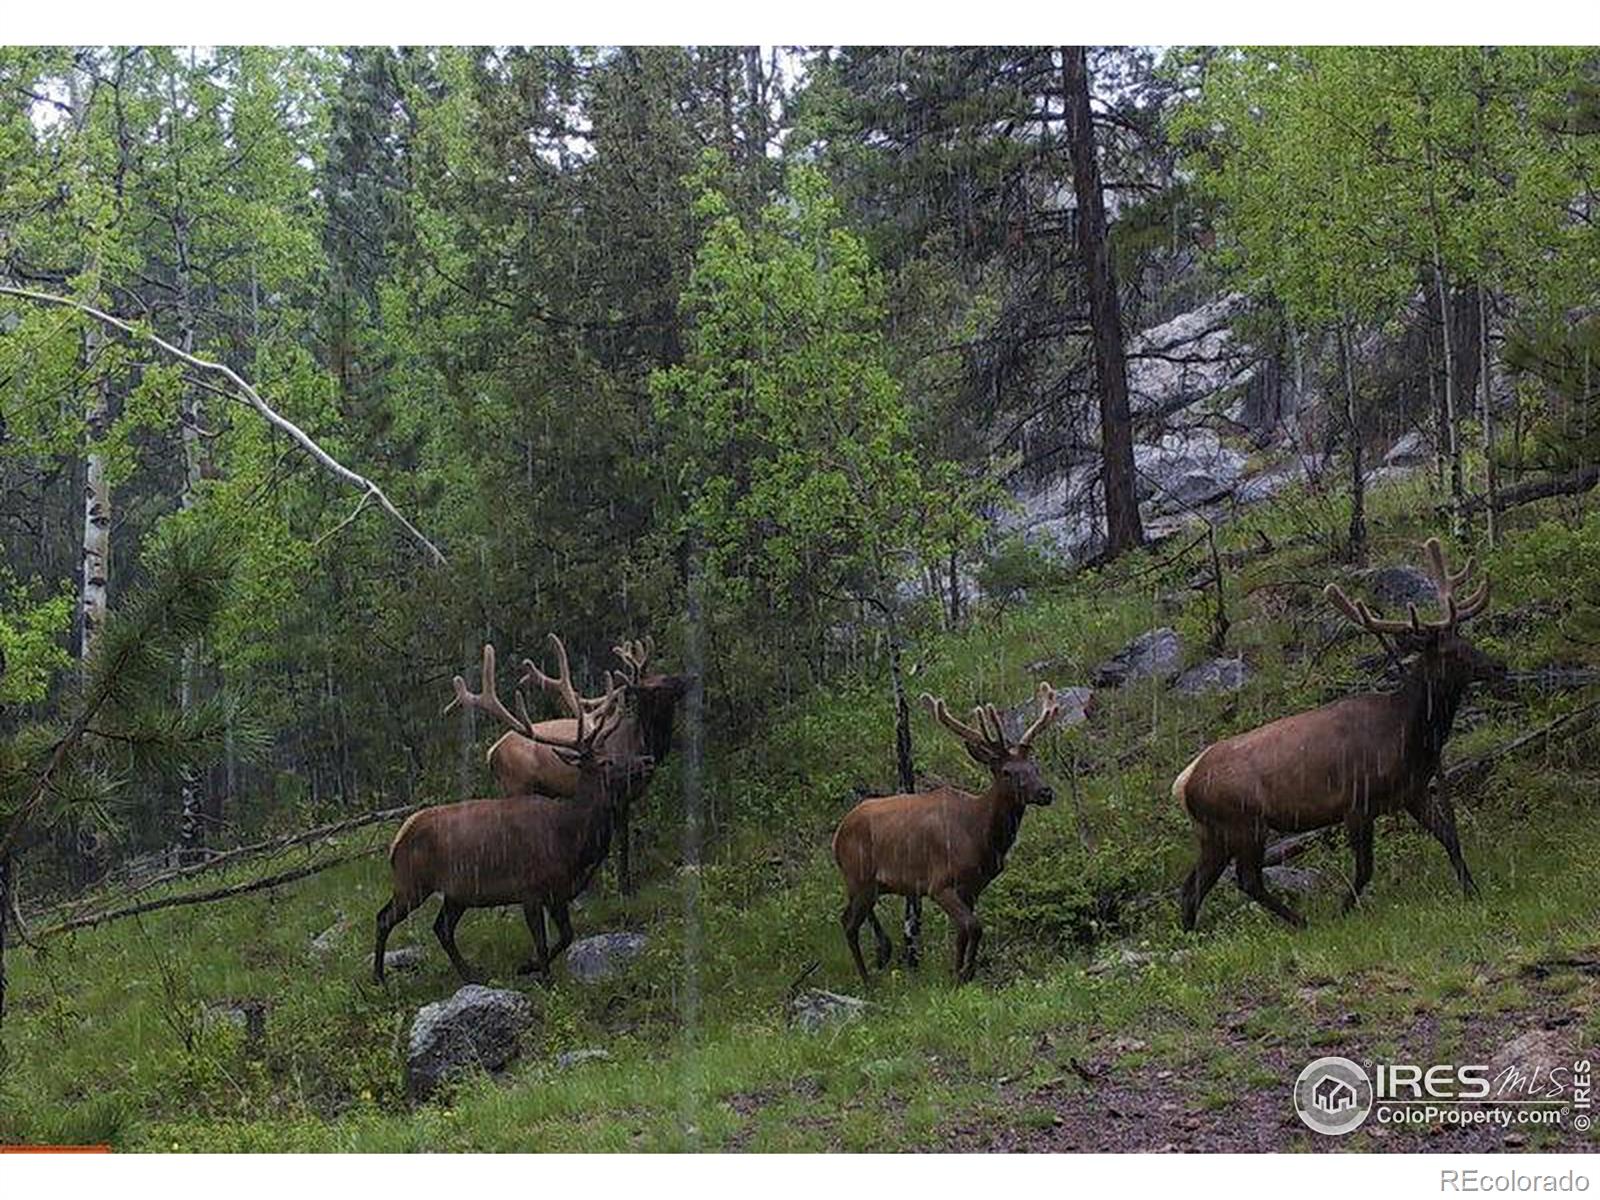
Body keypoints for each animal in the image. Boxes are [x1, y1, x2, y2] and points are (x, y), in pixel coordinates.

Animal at [371, 643, 652, 979]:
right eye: (607, 761)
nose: (647, 760)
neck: (570, 838)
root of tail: (397, 840)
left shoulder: (557, 892)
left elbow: (566, 936)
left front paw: (525, 967)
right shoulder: (530, 888)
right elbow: (543, 944)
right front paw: (543, 978)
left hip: (457, 892)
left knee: (441, 927)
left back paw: (470, 973)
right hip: (411, 882)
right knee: (384, 918)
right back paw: (379, 979)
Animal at [457, 633, 694, 896]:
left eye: (665, 674)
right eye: (657, 685)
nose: (691, 677)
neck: (639, 741)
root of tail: (491, 753)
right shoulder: (619, 796)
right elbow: (621, 842)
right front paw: (623, 887)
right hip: (516, 785)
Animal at [825, 684, 1062, 985]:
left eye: (1035, 767)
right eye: (1007, 771)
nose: (1045, 792)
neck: (981, 836)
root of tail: (837, 835)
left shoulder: (973, 886)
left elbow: (964, 930)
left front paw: (962, 972)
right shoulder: (939, 882)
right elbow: (974, 925)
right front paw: (962, 974)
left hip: (869, 882)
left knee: (854, 915)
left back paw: (883, 951)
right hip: (859, 874)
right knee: (848, 922)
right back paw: (868, 979)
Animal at [1171, 540, 1504, 934]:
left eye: (1465, 638)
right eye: (1450, 652)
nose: (1499, 666)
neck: (1409, 736)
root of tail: (1184, 782)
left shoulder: (1413, 792)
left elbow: (1449, 837)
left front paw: (1472, 890)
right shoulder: (1357, 802)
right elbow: (1364, 868)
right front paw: (1343, 911)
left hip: (1214, 833)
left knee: (1192, 885)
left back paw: (1193, 935)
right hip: (1243, 822)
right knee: (1246, 879)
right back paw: (1301, 922)